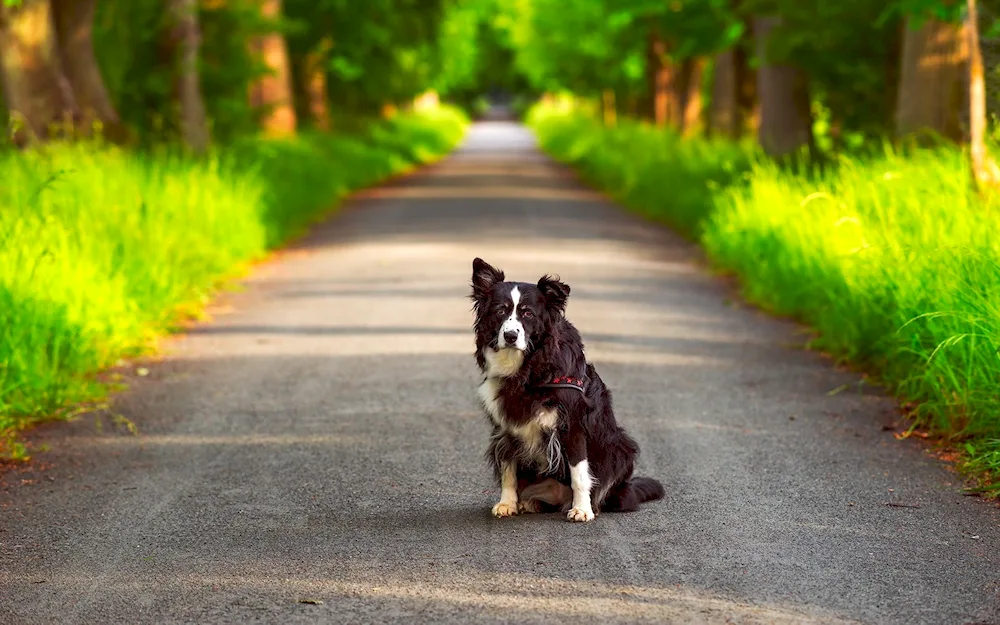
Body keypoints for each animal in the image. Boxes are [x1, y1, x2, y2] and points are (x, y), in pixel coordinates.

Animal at [468, 256, 664, 520]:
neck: (529, 368)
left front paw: (582, 510)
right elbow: (508, 466)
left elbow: (579, 473)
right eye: (500, 311)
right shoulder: (505, 424)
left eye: (528, 313)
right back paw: (530, 502)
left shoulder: (573, 425)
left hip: (620, 447)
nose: (510, 336)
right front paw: (507, 503)